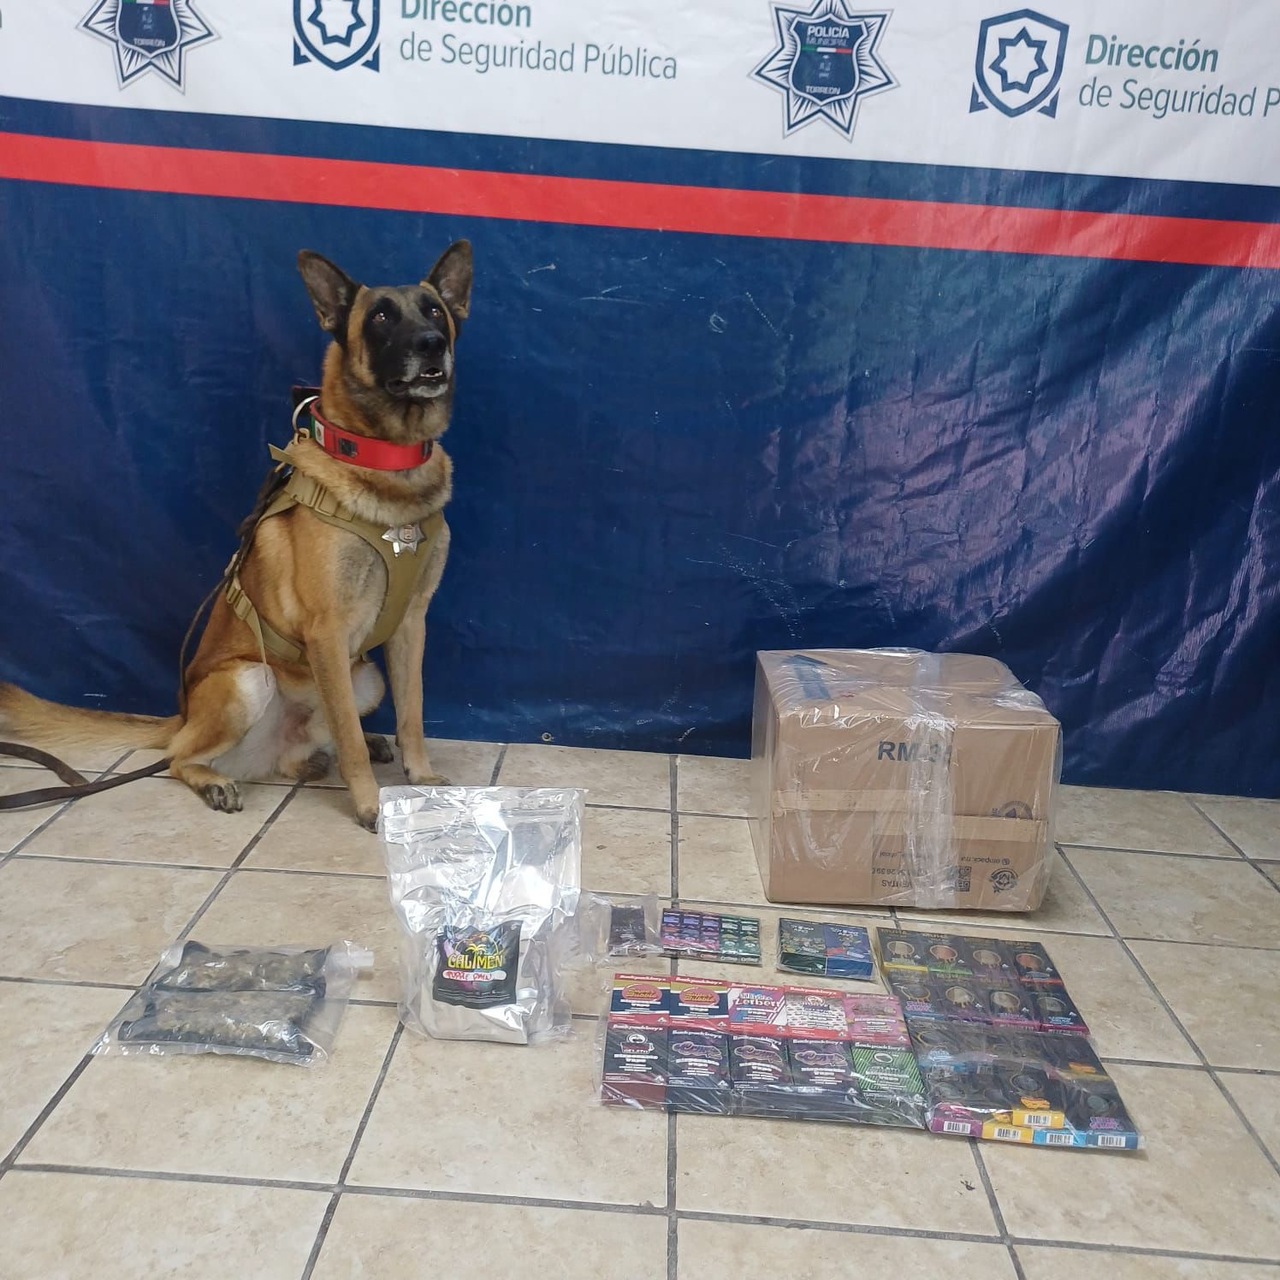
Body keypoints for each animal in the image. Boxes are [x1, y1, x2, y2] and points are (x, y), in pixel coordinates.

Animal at [0, 241, 472, 830]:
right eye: (382, 318)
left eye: (433, 311)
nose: (432, 343)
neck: (387, 465)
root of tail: (182, 717)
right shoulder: (328, 632)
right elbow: (351, 739)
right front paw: (369, 803)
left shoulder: (411, 623)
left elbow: (413, 713)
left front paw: (421, 776)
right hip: (248, 681)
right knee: (178, 759)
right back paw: (215, 781)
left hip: (365, 679)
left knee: (312, 742)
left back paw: (318, 756)